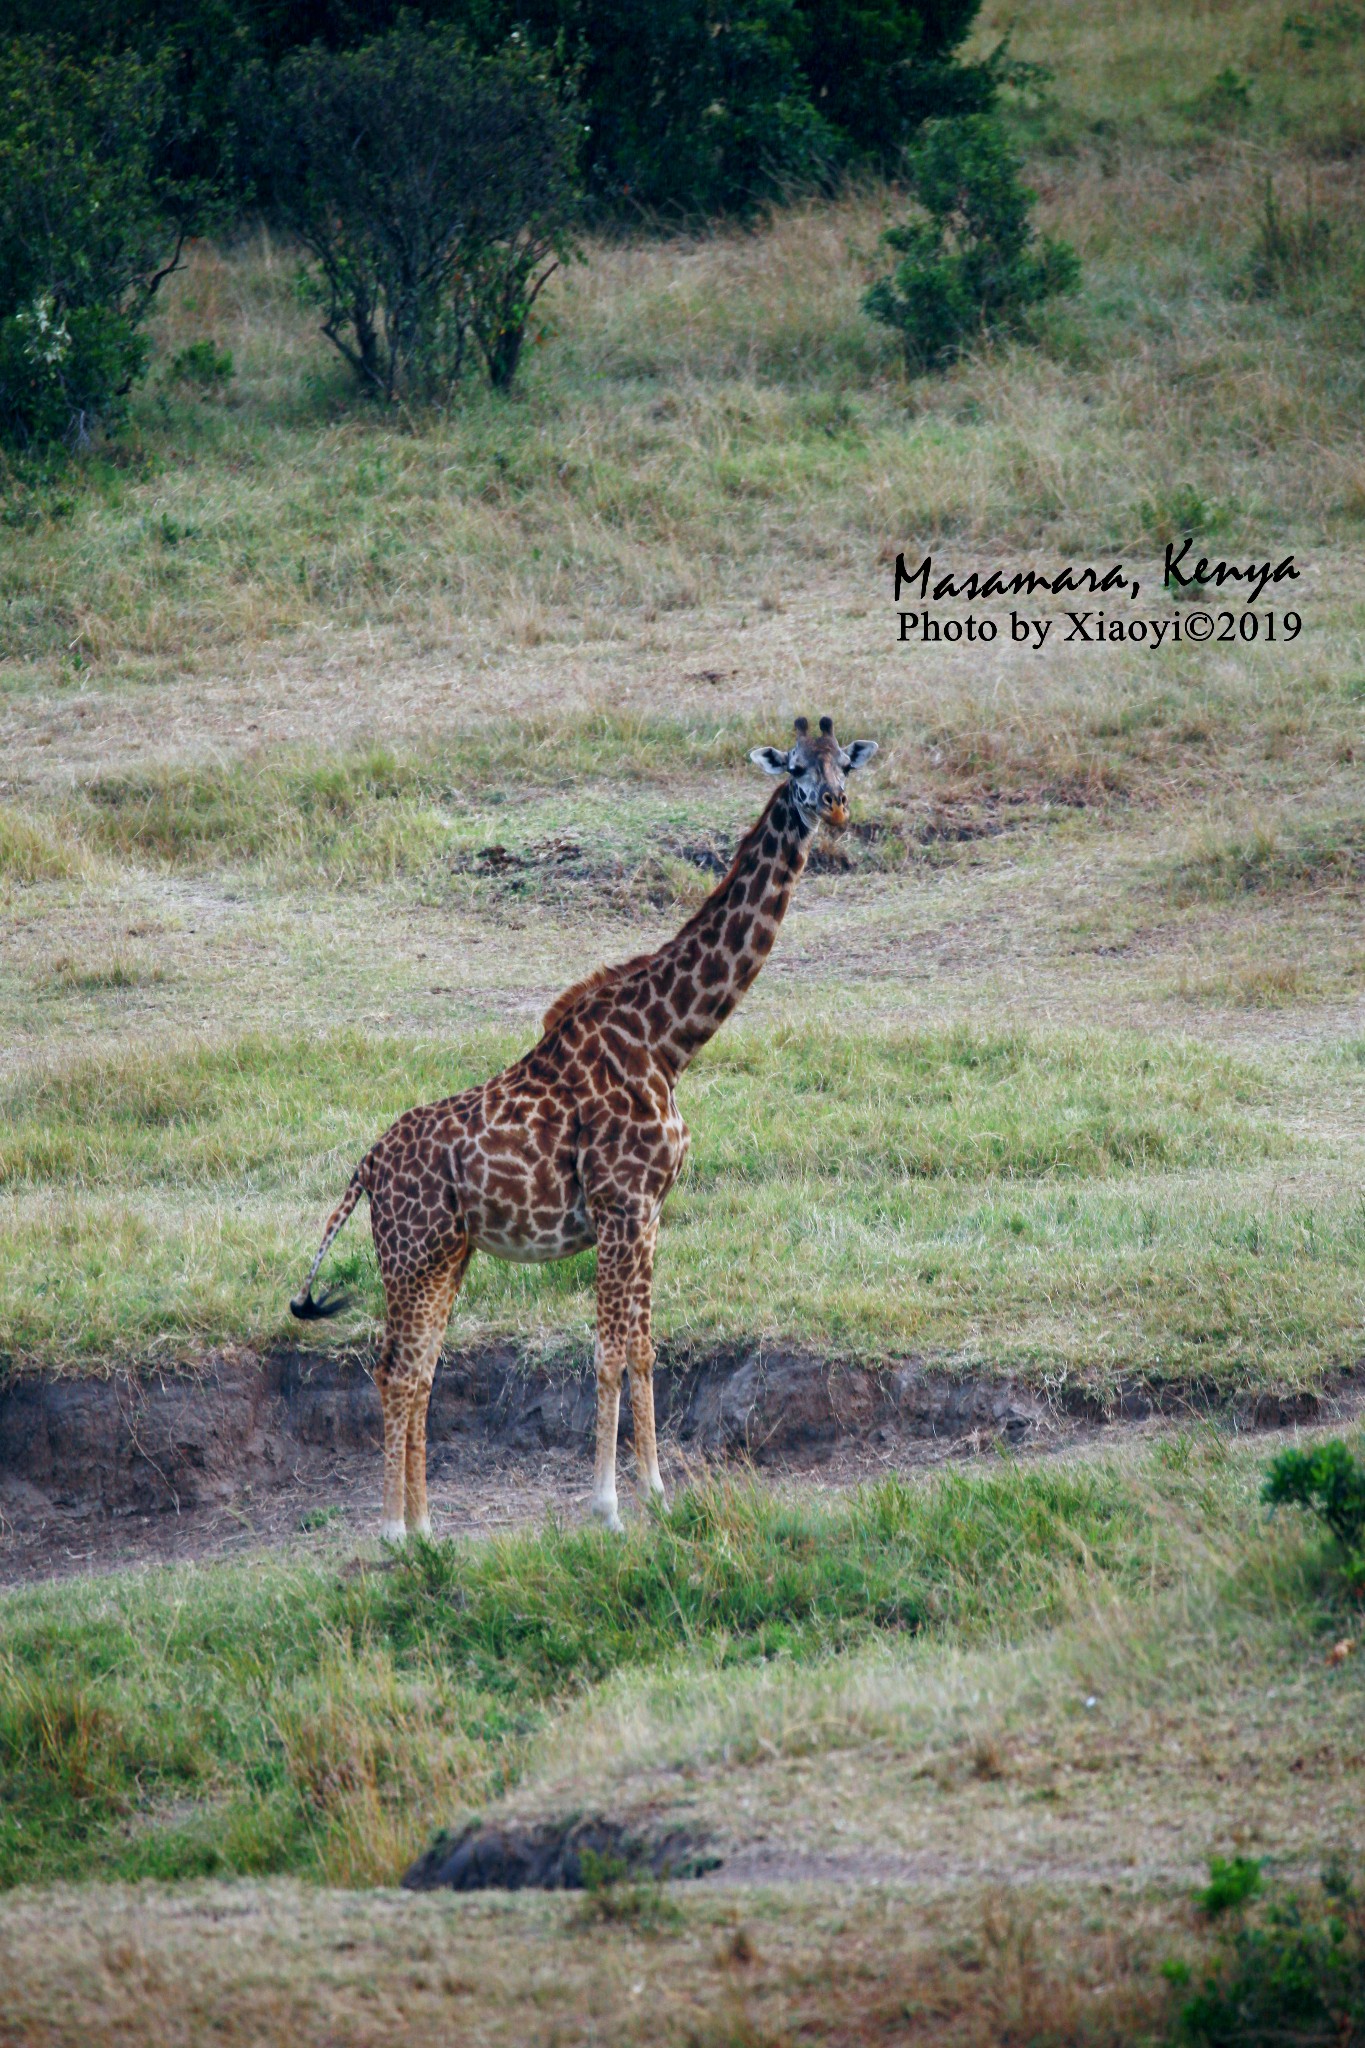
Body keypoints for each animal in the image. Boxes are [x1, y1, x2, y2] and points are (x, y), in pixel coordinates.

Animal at [292, 720, 879, 1540]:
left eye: (842, 764)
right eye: (793, 768)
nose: (834, 806)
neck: (667, 1041)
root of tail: (366, 1169)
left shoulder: (650, 1211)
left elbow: (644, 1346)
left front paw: (658, 1492)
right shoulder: (619, 1206)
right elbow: (606, 1351)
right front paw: (607, 1508)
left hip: (446, 1255)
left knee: (422, 1369)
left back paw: (428, 1529)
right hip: (409, 1253)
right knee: (397, 1369)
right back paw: (394, 1533)